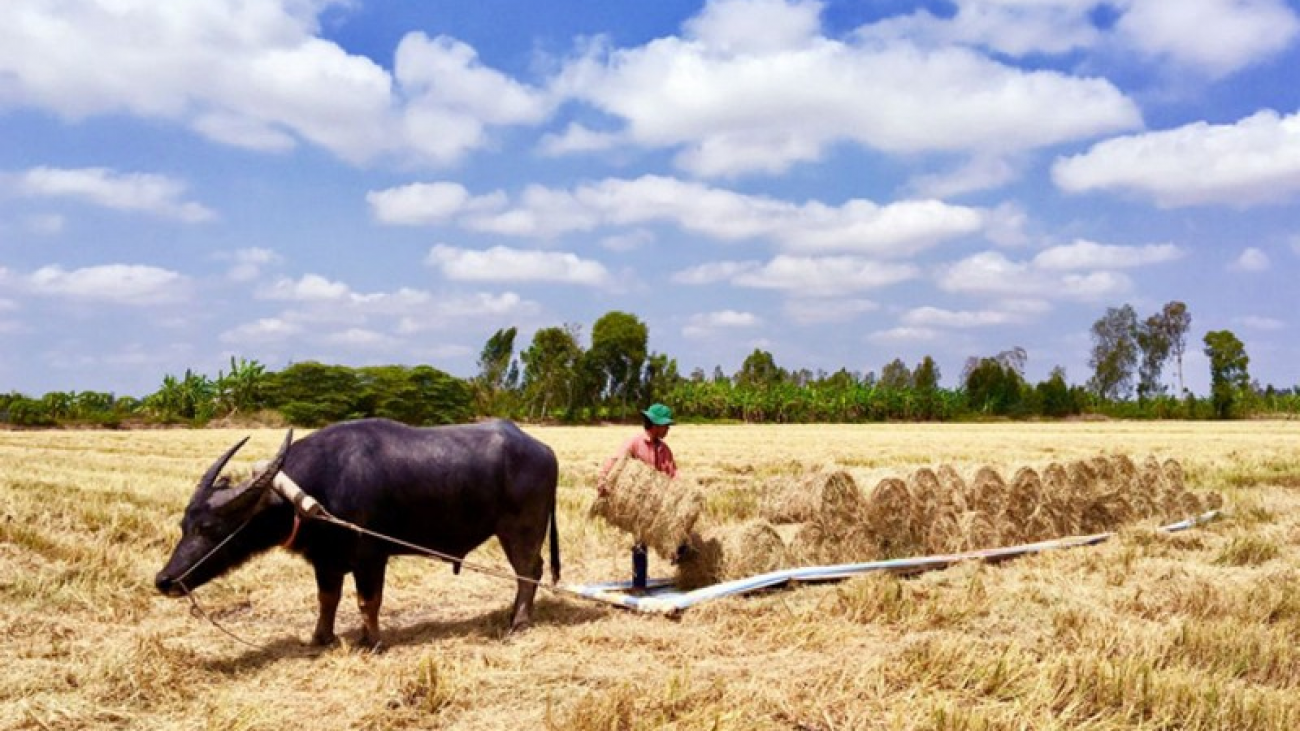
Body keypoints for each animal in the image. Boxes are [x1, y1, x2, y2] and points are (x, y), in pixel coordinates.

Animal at [152, 413, 559, 645]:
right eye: (184, 525)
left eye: (209, 527)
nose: (164, 580)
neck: (316, 490)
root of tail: (543, 450)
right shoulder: (326, 561)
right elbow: (327, 599)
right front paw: (321, 637)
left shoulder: (370, 558)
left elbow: (368, 601)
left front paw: (372, 640)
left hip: (521, 530)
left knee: (528, 571)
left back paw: (518, 622)